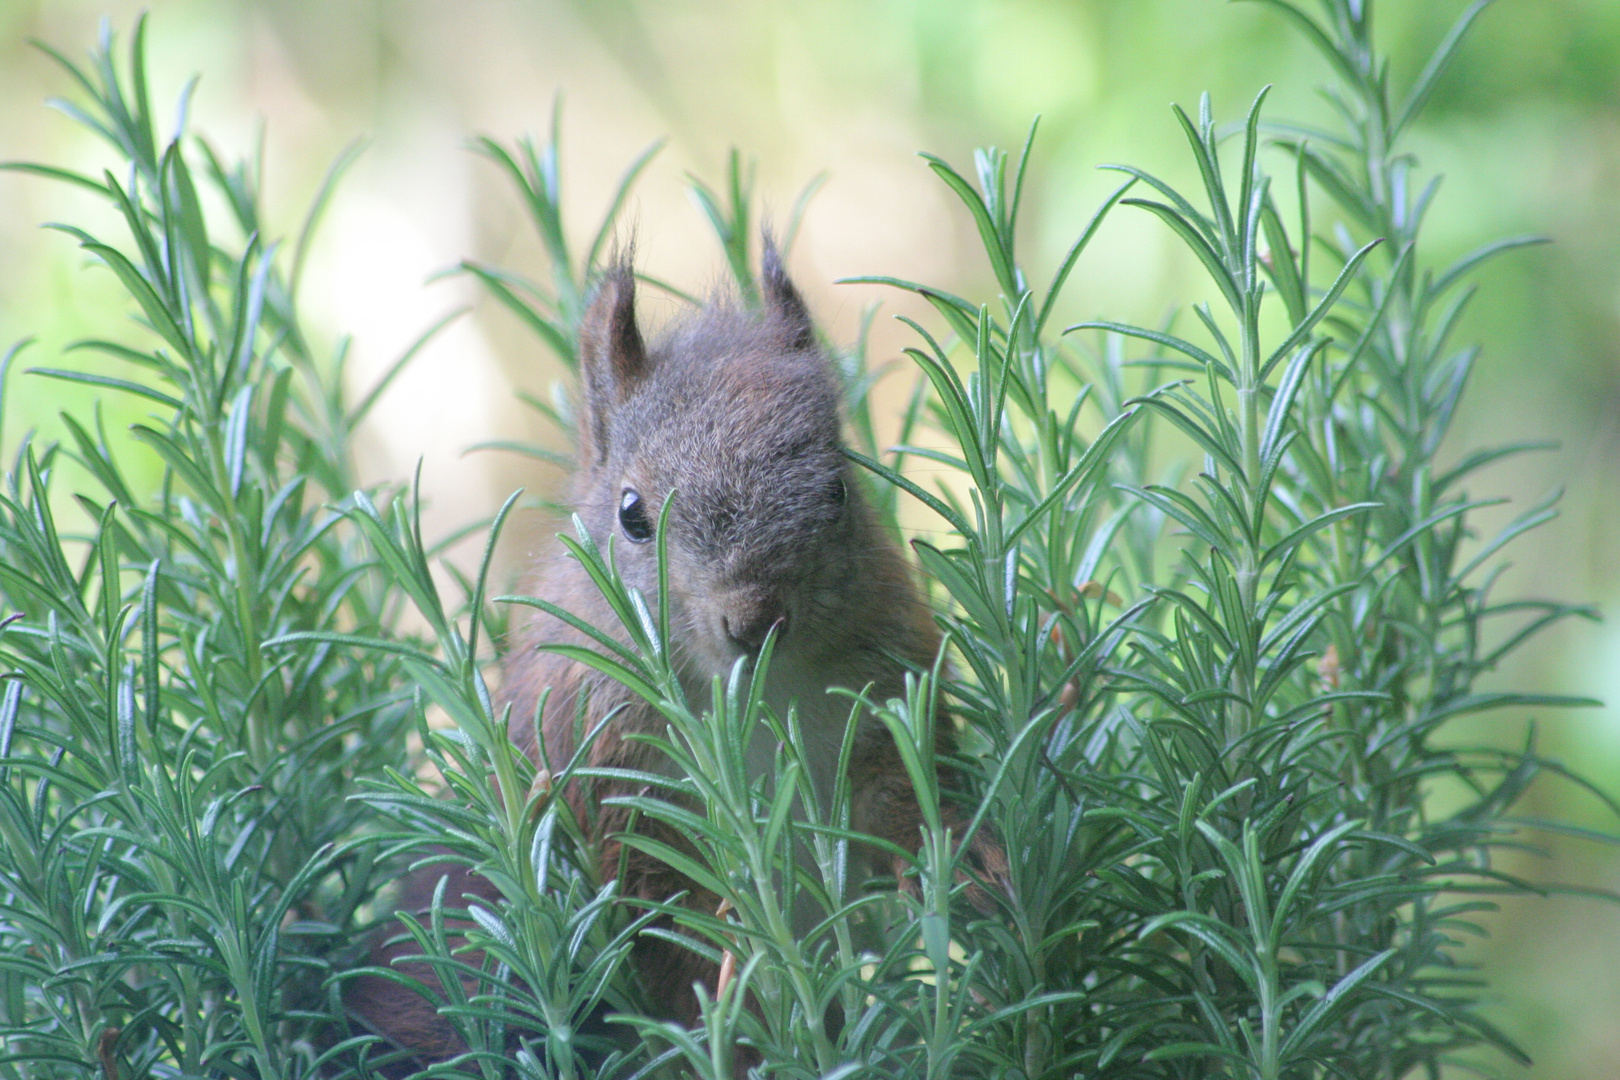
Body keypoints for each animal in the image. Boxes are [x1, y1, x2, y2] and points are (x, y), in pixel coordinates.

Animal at [345, 233, 997, 1068]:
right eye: (631, 514)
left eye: (840, 490)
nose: (755, 618)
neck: (751, 700)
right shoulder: (603, 777)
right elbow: (663, 920)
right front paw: (735, 1005)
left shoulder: (885, 686)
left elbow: (900, 798)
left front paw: (962, 864)